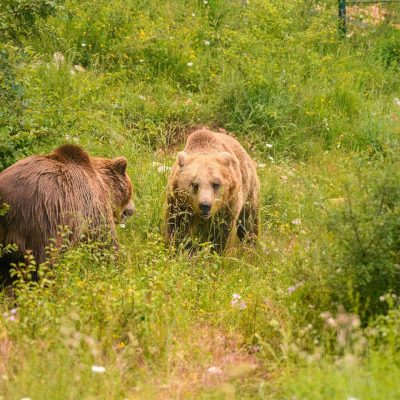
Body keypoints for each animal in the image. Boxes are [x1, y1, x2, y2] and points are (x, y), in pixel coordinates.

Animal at [0, 144, 135, 284]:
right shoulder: (93, 207)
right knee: (43, 260)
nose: (132, 210)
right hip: (39, 220)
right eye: (131, 190)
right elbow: (105, 241)